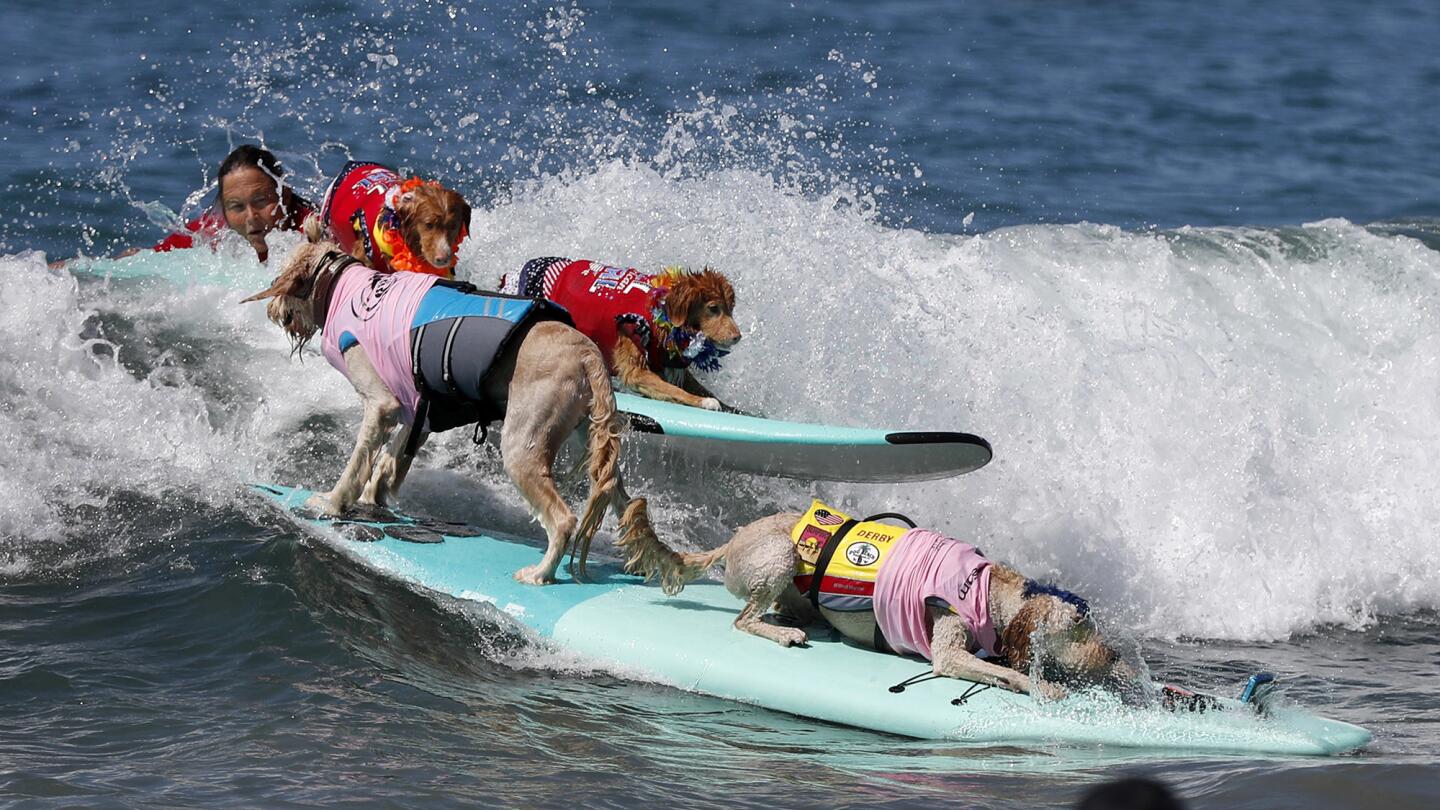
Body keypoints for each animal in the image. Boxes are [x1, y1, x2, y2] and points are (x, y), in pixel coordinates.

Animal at [243, 239, 659, 579]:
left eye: (281, 276)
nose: (273, 311)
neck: (343, 286)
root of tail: (588, 354)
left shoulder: (382, 404)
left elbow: (358, 464)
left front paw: (331, 503)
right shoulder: (419, 411)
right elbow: (390, 461)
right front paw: (374, 501)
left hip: (522, 445)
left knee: (563, 519)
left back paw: (541, 573)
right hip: (593, 440)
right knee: (626, 502)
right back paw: (643, 561)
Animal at [506, 256, 743, 409]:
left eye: (730, 308)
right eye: (713, 308)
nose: (737, 337)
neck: (660, 315)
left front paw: (732, 408)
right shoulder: (635, 368)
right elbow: (675, 391)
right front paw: (704, 402)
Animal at [613, 501, 1140, 697]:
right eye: (1078, 628)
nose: (1114, 655)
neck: (991, 591)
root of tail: (733, 540)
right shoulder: (948, 649)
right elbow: (1002, 669)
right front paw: (1043, 686)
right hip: (780, 555)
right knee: (744, 620)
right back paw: (784, 632)